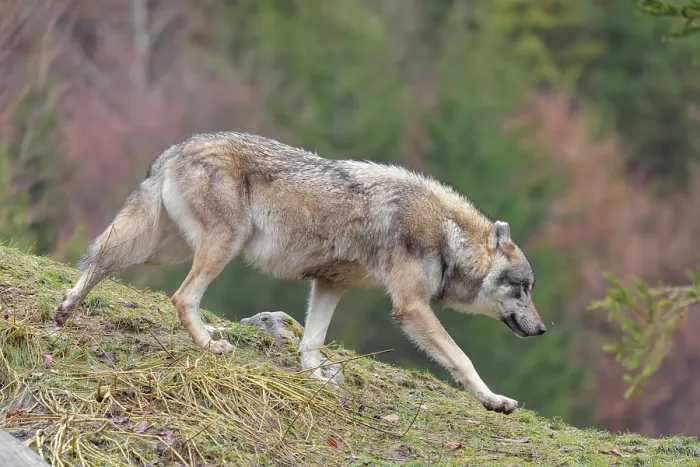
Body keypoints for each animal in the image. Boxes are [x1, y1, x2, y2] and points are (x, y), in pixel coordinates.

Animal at [54, 132, 546, 414]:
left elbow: (311, 343)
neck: (447, 235)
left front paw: (316, 379)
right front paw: (494, 400)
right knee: (181, 297)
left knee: (101, 260)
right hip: (218, 249)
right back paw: (211, 345)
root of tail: (176, 149)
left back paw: (63, 313)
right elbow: (462, 358)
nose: (542, 329)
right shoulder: (410, 307)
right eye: (523, 288)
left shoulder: (331, 284)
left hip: (160, 252)